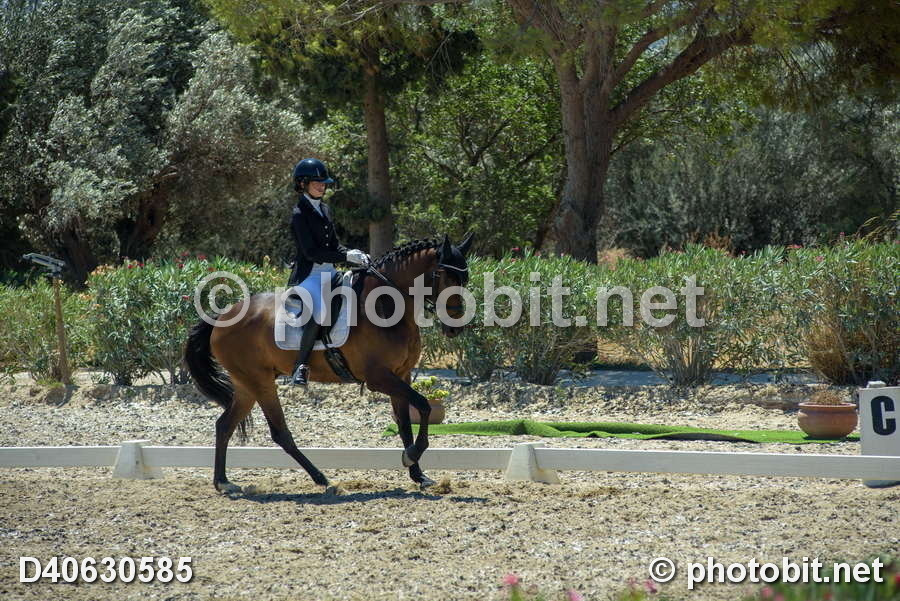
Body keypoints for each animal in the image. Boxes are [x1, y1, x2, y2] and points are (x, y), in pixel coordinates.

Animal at [184, 234, 473, 493]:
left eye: (465, 278)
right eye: (446, 277)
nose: (455, 328)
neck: (385, 305)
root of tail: (222, 317)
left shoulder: (401, 374)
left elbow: (405, 424)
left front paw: (418, 474)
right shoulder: (378, 378)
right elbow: (424, 405)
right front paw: (412, 456)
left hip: (247, 384)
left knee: (224, 425)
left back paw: (223, 482)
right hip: (260, 381)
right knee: (279, 433)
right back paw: (322, 479)